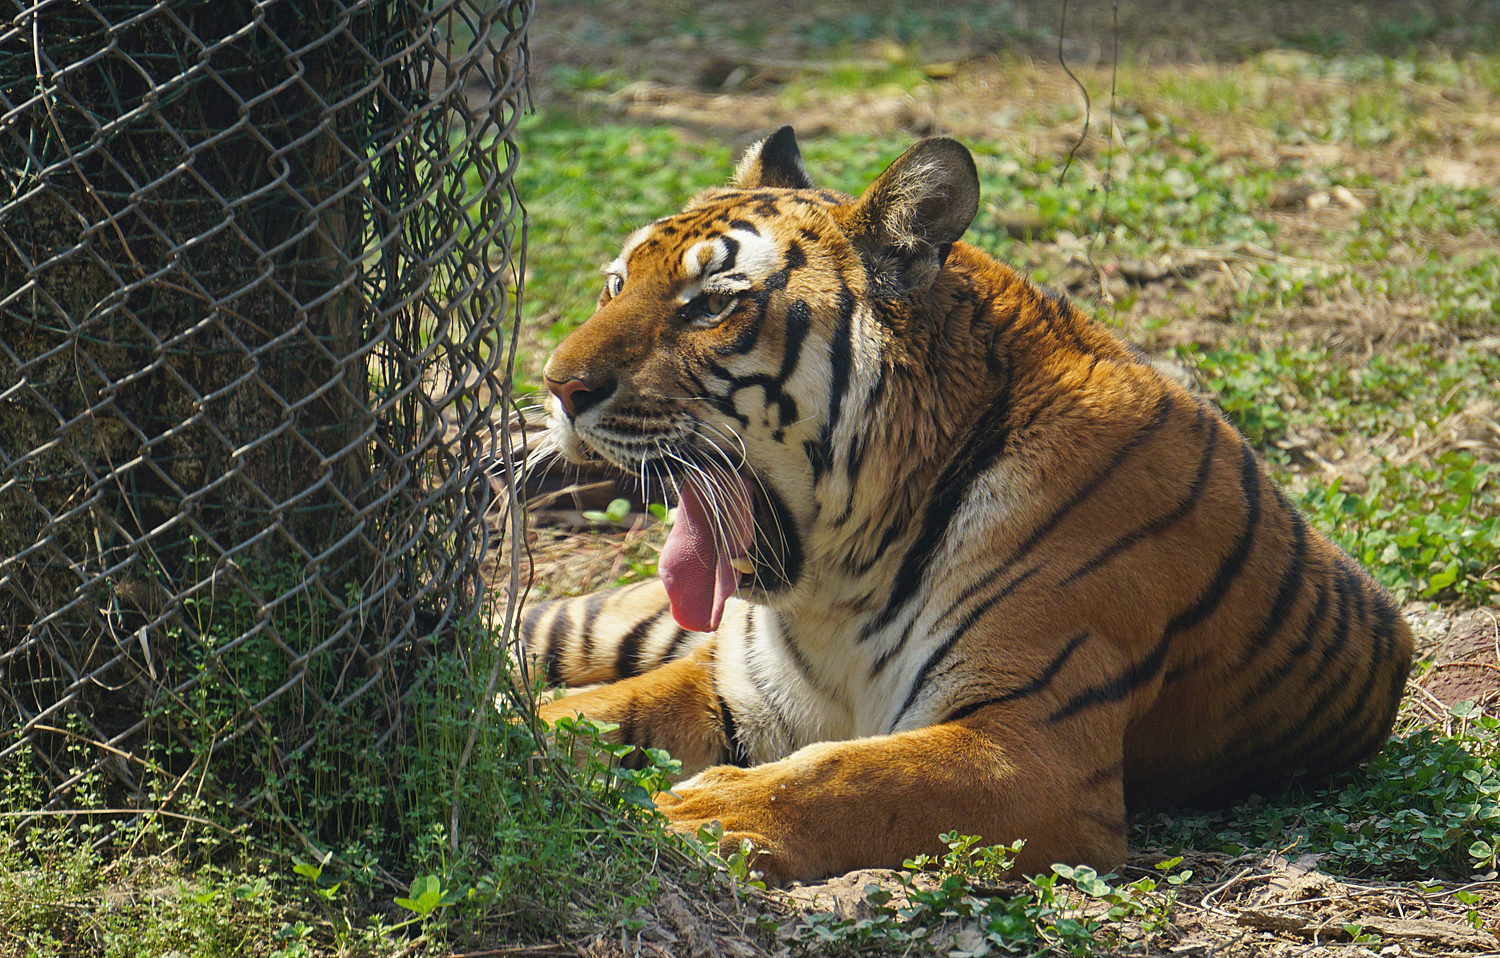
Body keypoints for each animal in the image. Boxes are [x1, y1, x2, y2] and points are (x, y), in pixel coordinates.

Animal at [522, 125, 1413, 887]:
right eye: (614, 285)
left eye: (712, 303)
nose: (557, 387)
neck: (836, 585)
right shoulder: (738, 689)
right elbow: (590, 712)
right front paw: (519, 733)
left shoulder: (1031, 747)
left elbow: (843, 775)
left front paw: (681, 814)